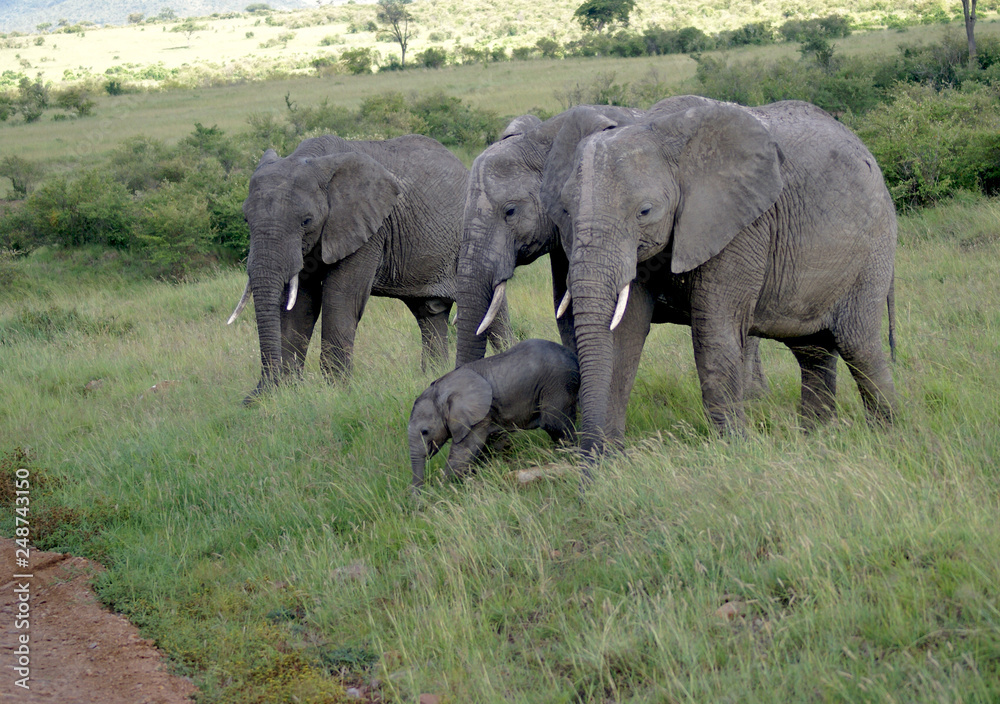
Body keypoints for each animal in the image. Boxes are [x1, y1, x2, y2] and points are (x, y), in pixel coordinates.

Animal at [227, 132, 508, 402]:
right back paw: (434, 376)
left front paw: (335, 393)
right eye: (245, 219)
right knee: (430, 314)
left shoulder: (369, 229)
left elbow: (340, 298)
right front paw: (278, 395)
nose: (254, 396)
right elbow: (300, 305)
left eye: (306, 221)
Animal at [406, 338, 580, 492]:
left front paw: (445, 490)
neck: (442, 389)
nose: (418, 502)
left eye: (425, 432)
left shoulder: (476, 418)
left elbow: (464, 451)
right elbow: (492, 444)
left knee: (554, 423)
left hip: (557, 383)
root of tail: (573, 357)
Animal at [556, 97, 900, 462]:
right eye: (565, 210)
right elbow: (625, 334)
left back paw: (887, 436)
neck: (661, 132)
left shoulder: (742, 225)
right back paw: (817, 437)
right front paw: (610, 463)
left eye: (645, 212)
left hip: (873, 248)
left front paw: (734, 452)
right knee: (812, 350)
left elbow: (715, 331)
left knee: (857, 344)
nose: (586, 465)